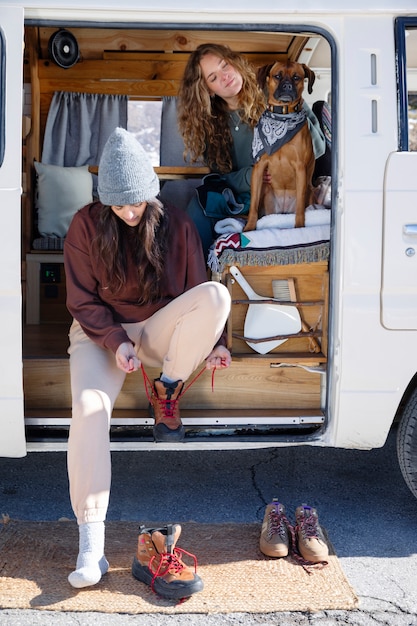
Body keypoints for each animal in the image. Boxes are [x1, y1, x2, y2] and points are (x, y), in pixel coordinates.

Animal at [244, 60, 316, 232]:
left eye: (297, 77)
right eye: (277, 76)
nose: (288, 86)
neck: (282, 115)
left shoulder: (300, 168)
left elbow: (300, 208)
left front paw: (299, 226)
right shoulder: (259, 168)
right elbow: (253, 205)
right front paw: (249, 227)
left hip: (310, 190)